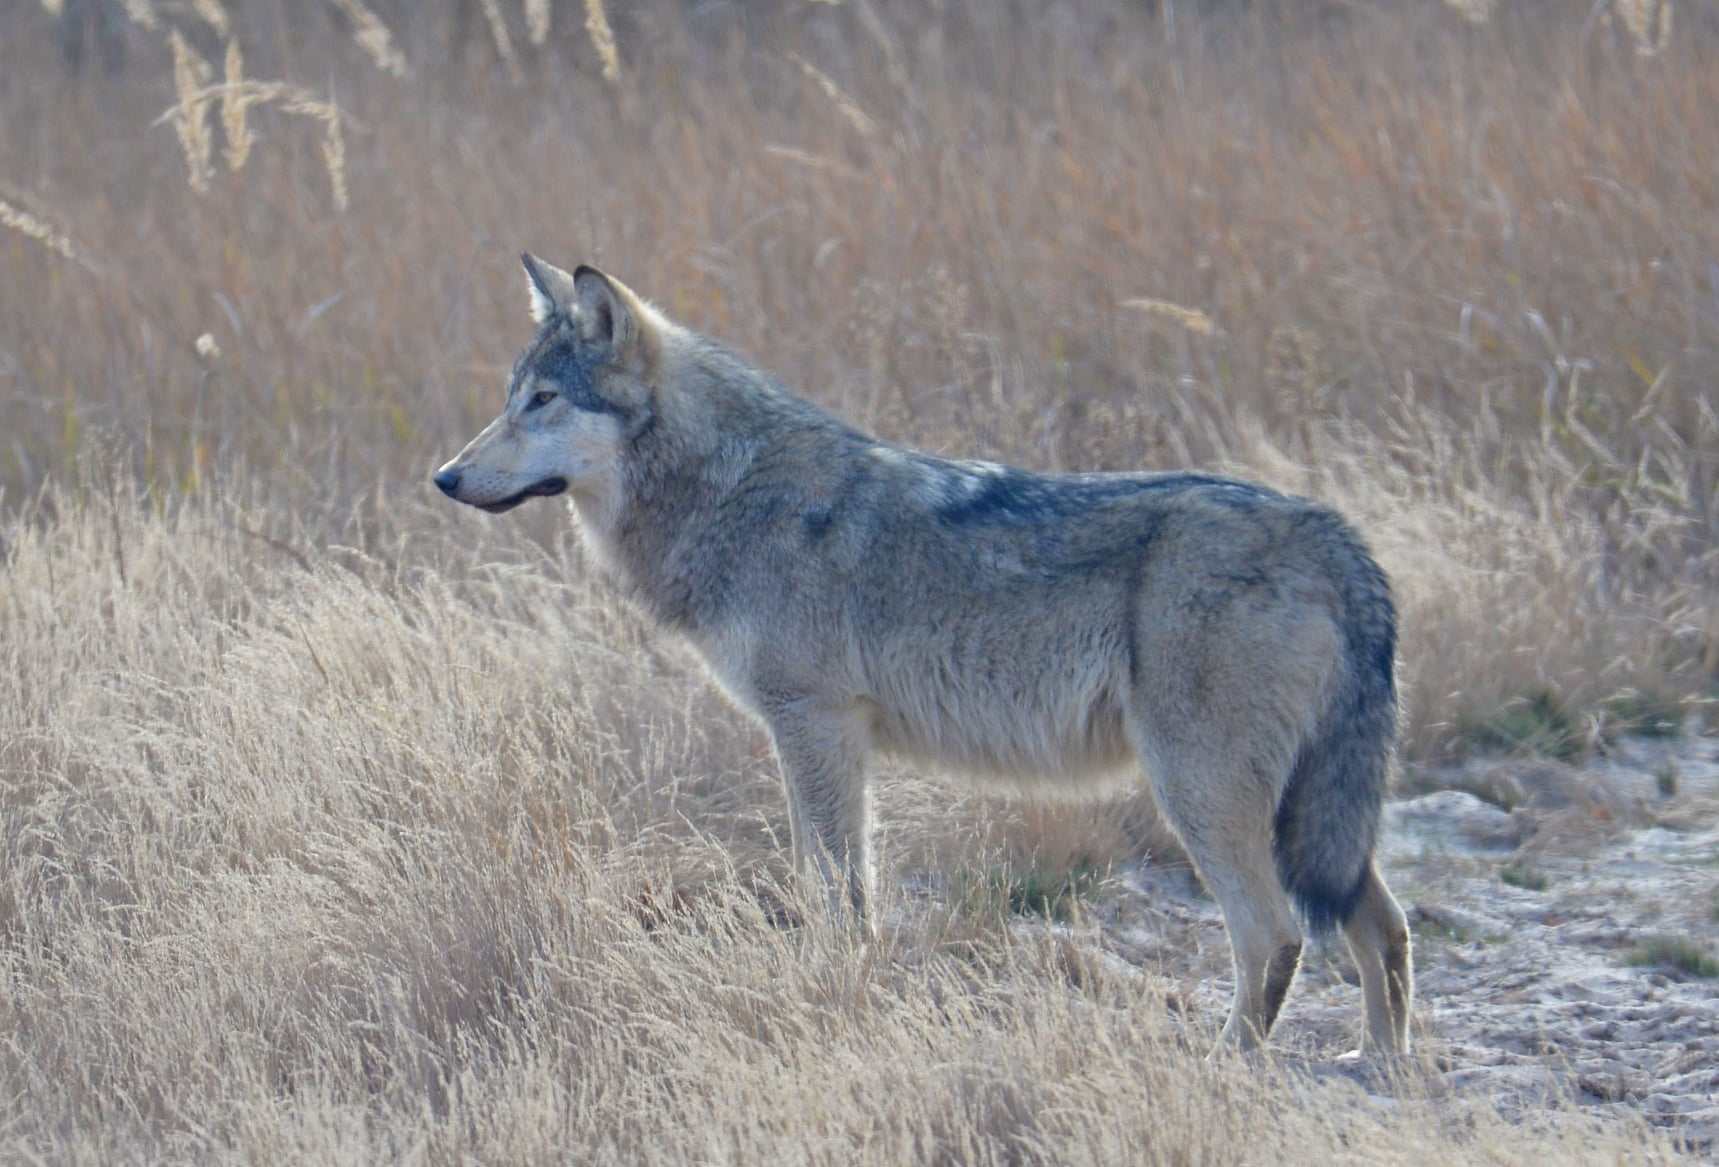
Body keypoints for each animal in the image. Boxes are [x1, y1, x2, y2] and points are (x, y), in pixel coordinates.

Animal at [436, 256, 1416, 1058]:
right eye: (512, 396)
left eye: (543, 401)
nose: (444, 478)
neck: (733, 494)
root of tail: (1336, 536)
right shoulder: (822, 739)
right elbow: (827, 885)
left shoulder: (816, 726)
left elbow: (838, 893)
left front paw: (834, 995)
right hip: (1303, 814)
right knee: (1383, 924)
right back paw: (1381, 1066)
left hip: (1200, 795)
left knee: (1275, 935)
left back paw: (1225, 1063)